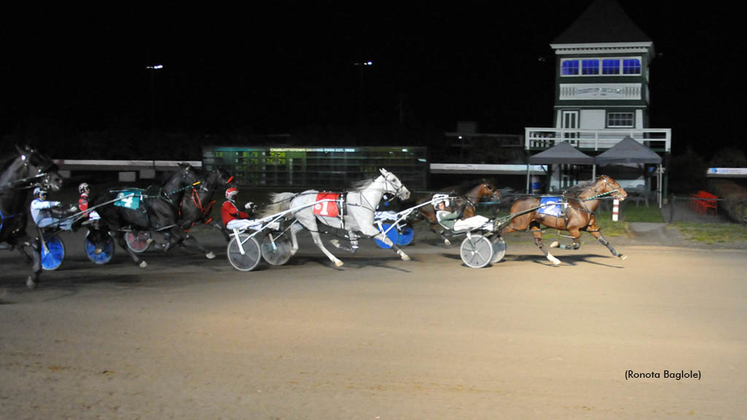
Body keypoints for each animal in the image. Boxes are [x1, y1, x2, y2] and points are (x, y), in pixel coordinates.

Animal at [0, 145, 65, 288]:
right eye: (35, 162)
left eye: (46, 158)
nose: (59, 180)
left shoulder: (13, 235)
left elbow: (35, 243)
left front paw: (34, 277)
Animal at [262, 167, 414, 266]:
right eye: (393, 179)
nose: (407, 193)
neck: (363, 202)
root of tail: (296, 196)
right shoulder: (366, 228)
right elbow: (386, 238)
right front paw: (404, 254)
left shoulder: (352, 228)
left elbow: (354, 248)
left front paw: (337, 243)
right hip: (310, 222)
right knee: (318, 242)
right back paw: (336, 260)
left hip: (307, 221)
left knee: (293, 230)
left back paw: (292, 250)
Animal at [502, 174, 632, 266]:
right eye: (613, 182)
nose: (625, 194)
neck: (582, 204)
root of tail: (517, 200)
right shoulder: (573, 229)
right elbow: (576, 245)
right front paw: (556, 244)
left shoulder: (591, 227)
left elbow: (604, 241)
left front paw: (619, 254)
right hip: (518, 225)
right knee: (499, 231)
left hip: (534, 223)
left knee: (539, 242)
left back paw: (554, 260)